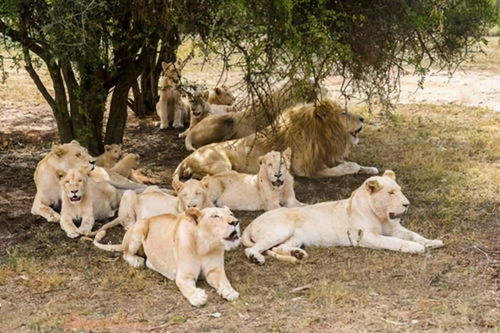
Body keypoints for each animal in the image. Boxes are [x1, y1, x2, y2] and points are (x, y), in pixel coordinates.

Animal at [95, 208, 242, 306]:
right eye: (215, 216)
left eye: (231, 214)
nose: (235, 222)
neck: (205, 247)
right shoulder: (184, 276)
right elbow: (187, 287)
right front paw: (197, 297)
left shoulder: (215, 271)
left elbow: (224, 281)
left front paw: (230, 292)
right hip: (139, 229)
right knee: (126, 254)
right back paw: (137, 261)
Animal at [174, 100, 376, 180]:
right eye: (343, 113)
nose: (363, 119)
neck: (324, 135)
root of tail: (187, 159)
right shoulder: (304, 168)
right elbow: (344, 168)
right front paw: (353, 167)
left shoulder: (324, 157)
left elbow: (352, 163)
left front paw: (371, 169)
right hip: (221, 163)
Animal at [240, 170, 444, 264]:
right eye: (391, 193)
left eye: (399, 190)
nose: (407, 204)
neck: (380, 216)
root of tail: (251, 223)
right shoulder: (365, 237)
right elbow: (393, 242)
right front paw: (415, 248)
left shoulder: (395, 228)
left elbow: (413, 234)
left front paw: (432, 242)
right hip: (280, 230)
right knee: (252, 249)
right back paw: (257, 258)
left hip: (295, 238)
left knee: (279, 248)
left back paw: (298, 254)